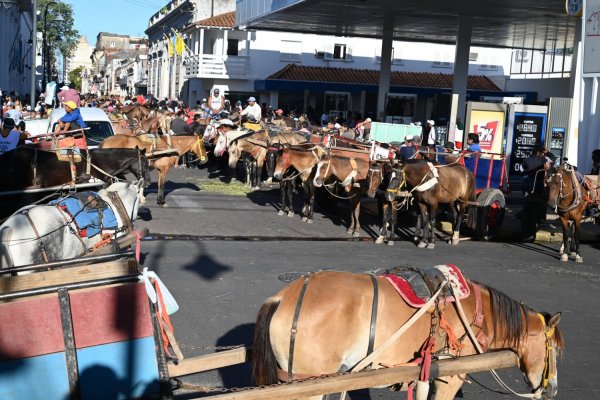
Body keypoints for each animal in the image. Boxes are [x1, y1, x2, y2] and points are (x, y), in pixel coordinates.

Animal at [252, 268, 564, 400]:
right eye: (556, 351)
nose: (552, 389)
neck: (479, 313)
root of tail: (281, 299)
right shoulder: (450, 377)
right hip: (309, 384)